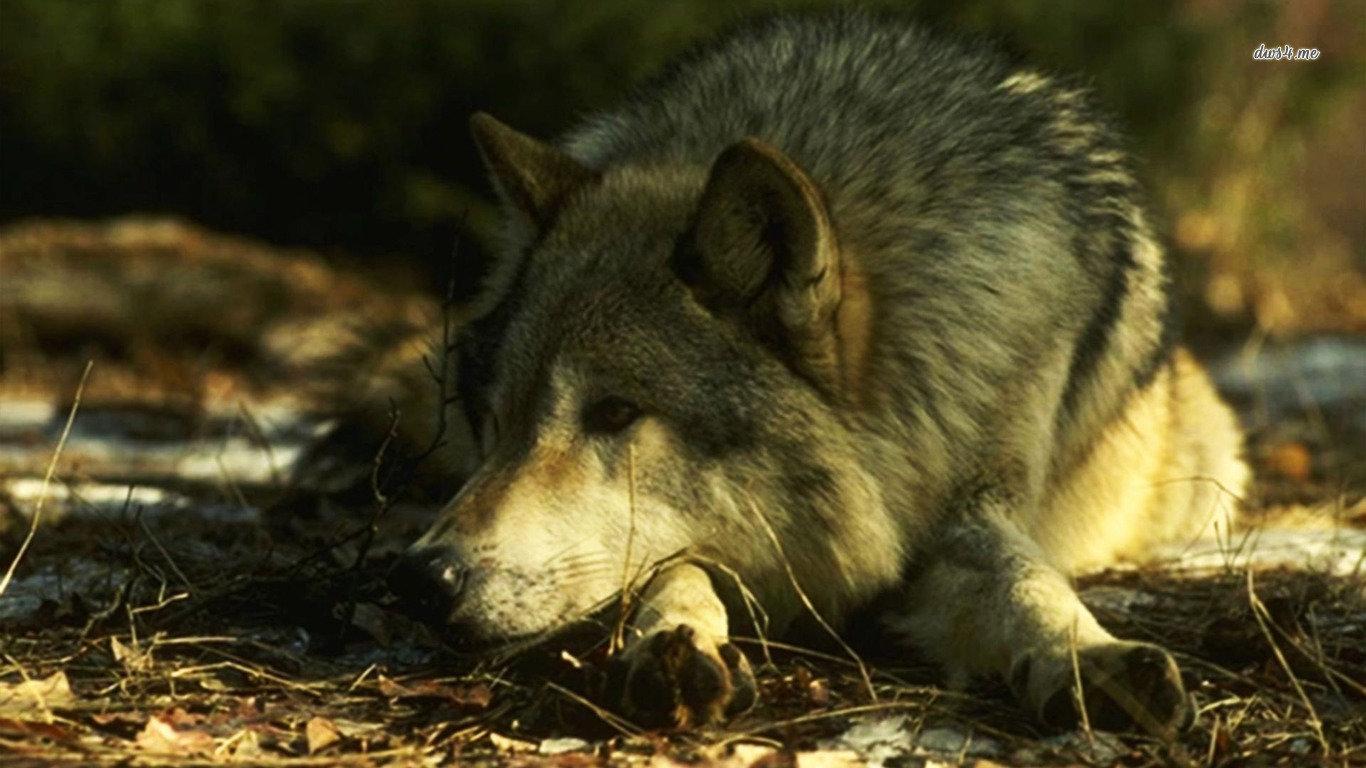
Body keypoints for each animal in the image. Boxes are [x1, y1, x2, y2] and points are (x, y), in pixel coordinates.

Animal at [378, 12, 1248, 736]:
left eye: (615, 413)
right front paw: (674, 641)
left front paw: (1086, 655)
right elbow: (672, 569)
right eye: (496, 419)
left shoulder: (971, 504)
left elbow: (1024, 579)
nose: (422, 578)